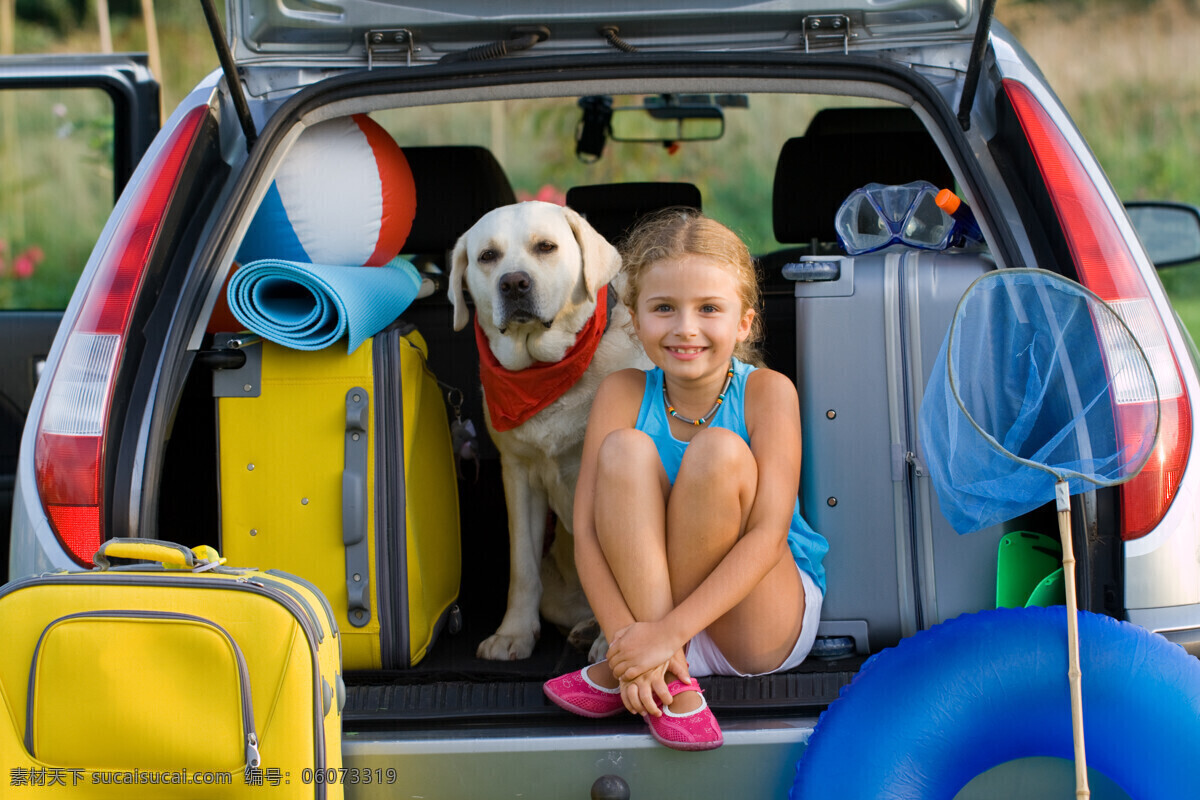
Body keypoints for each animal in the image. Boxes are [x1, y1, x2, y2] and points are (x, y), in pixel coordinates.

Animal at [448, 201, 648, 662]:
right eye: (487, 256)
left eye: (546, 247)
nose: (514, 283)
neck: (547, 372)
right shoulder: (518, 474)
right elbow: (522, 567)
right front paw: (514, 634)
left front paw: (614, 644)